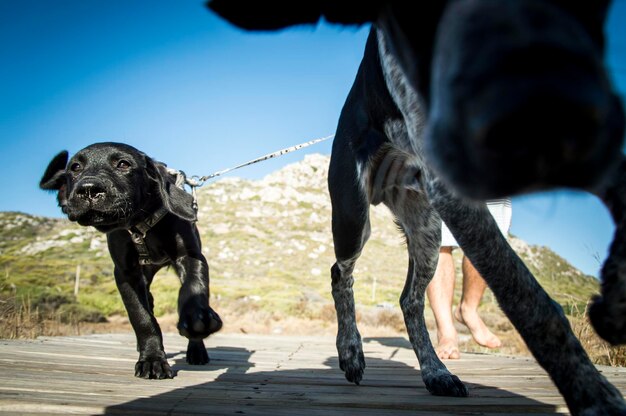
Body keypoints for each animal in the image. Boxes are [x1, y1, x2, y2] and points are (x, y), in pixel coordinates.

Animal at [39, 143, 222, 380]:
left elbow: (193, 287)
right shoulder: (126, 273)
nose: (88, 189)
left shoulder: (191, 256)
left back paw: (197, 350)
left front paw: (196, 317)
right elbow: (141, 317)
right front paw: (152, 360)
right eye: (75, 167)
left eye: (123, 164)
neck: (141, 225)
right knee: (149, 304)